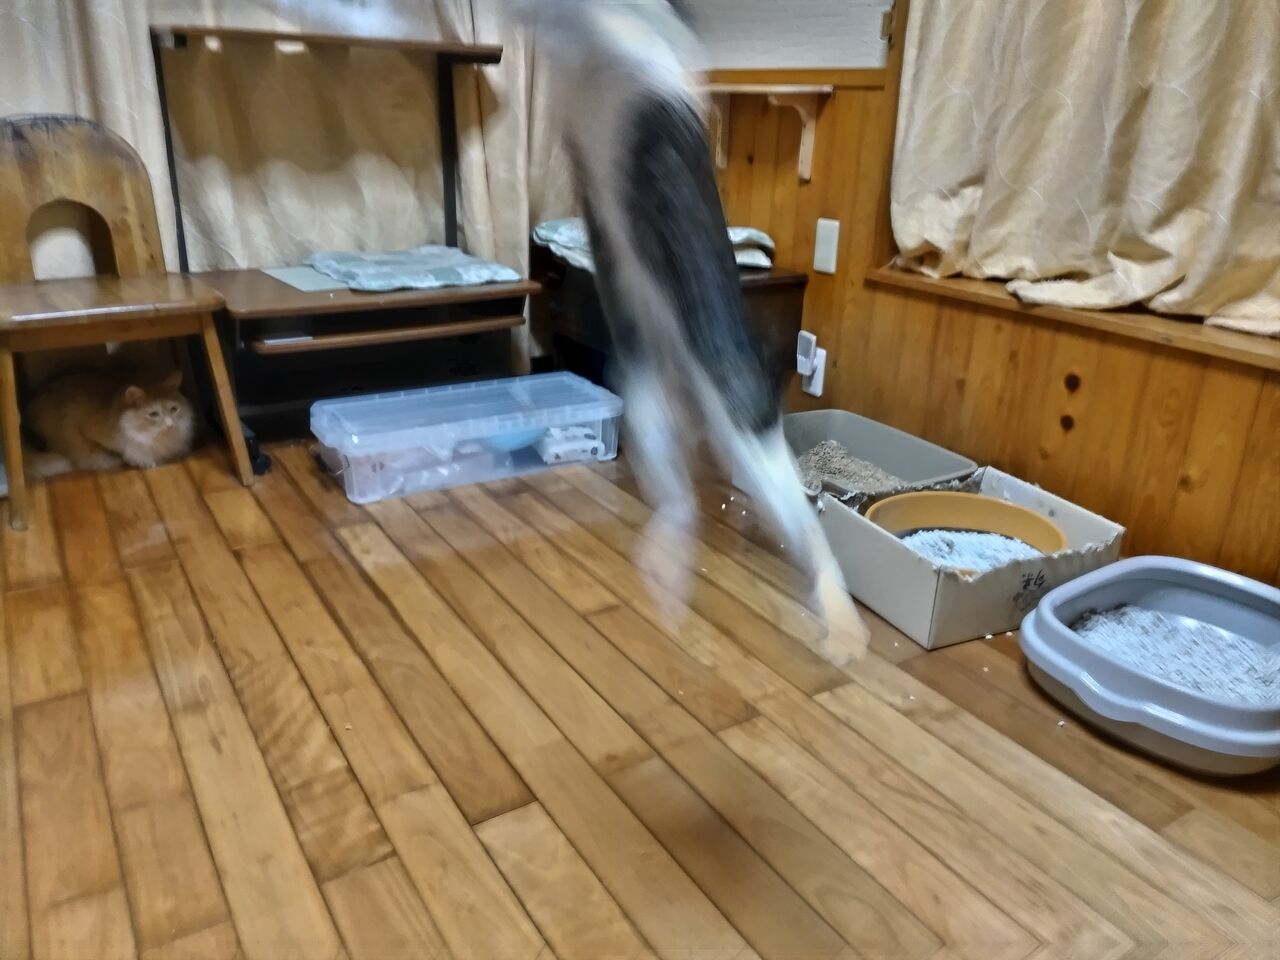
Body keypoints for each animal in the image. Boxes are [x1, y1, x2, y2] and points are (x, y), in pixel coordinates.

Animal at [24, 369, 196, 478]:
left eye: (174, 409)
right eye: (153, 414)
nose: (170, 425)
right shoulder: (86, 430)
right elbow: (122, 450)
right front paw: (139, 460)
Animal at [510, 0, 869, 665]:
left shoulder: (641, 41)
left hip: (735, 413)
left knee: (804, 531)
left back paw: (841, 625)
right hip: (642, 389)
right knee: (679, 499)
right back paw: (667, 570)